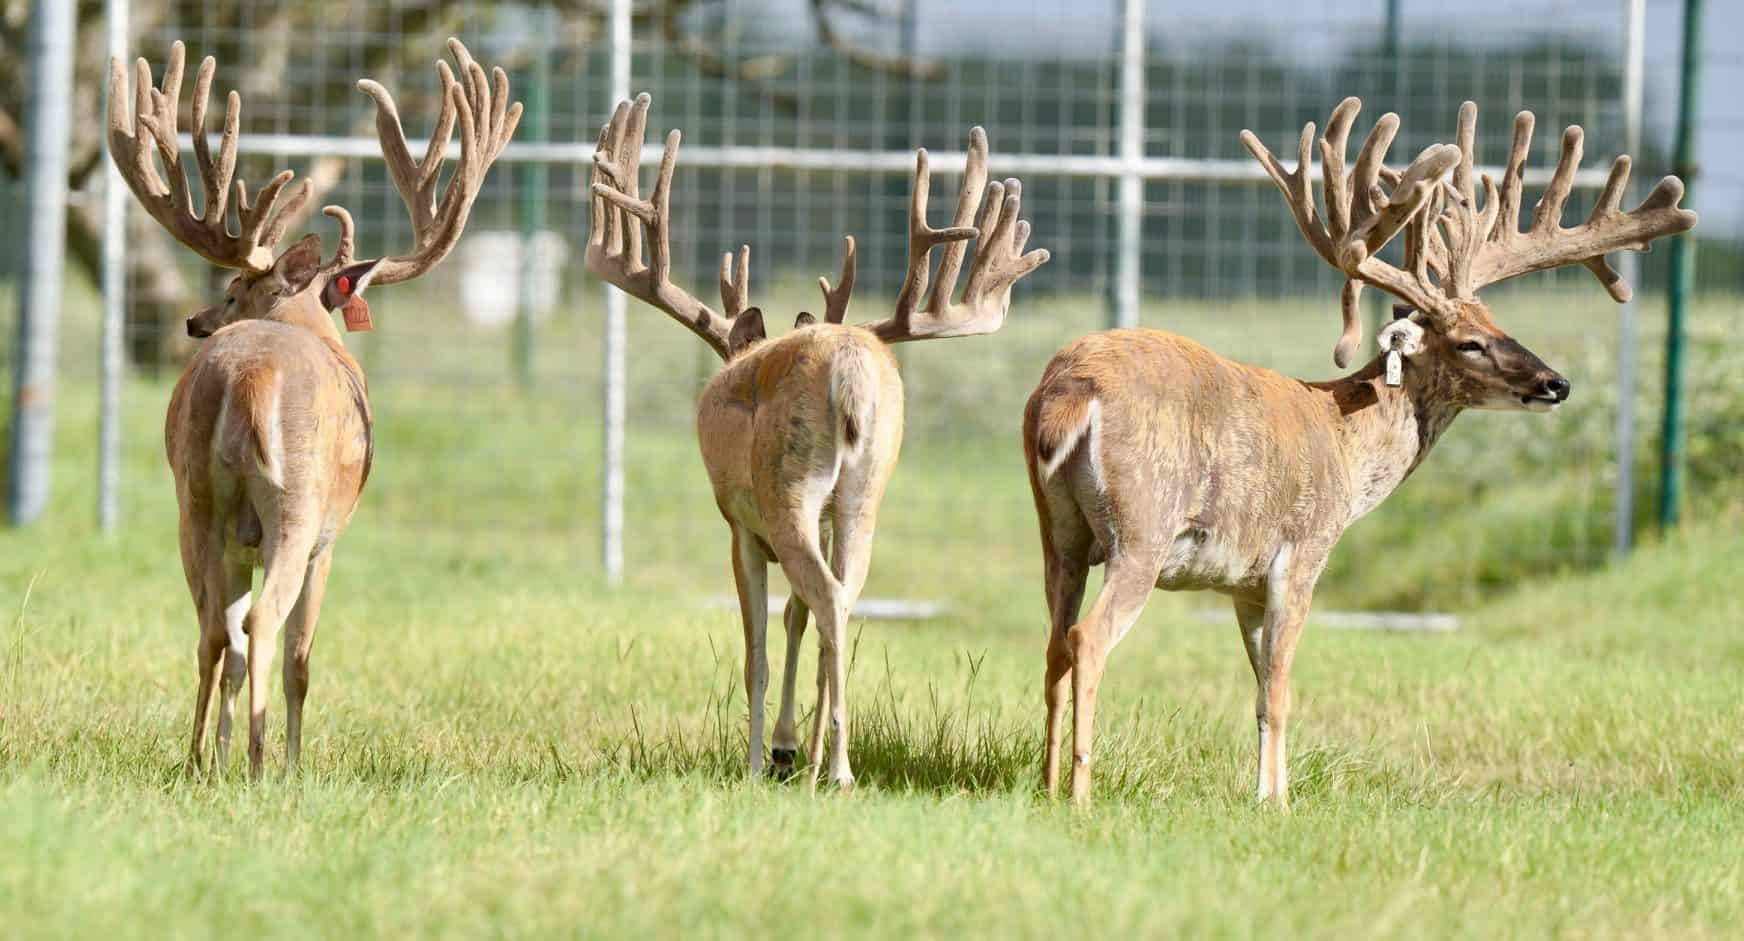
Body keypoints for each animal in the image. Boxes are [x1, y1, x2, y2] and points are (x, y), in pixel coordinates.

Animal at [108, 39, 520, 778]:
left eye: (234, 290)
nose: (194, 321)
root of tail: (248, 379)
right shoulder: (332, 535)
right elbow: (301, 659)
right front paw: (292, 760)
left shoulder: (236, 536)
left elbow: (232, 653)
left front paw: (219, 753)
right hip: (296, 507)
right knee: (262, 625)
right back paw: (263, 763)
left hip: (197, 500)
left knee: (214, 629)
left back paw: (199, 758)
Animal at [587, 94, 1048, 789]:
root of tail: (850, 362)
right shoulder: (824, 514)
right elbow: (794, 617)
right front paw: (785, 747)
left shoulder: (740, 524)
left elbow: (756, 642)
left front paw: (759, 759)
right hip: (864, 489)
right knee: (847, 597)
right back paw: (821, 759)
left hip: (787, 483)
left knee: (828, 595)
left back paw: (835, 770)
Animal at [1023, 98, 1696, 807]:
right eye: (1469, 342)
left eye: (1499, 325)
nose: (1555, 384)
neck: (1346, 443)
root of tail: (1072, 387)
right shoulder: (1305, 547)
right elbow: (1278, 692)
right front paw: (1275, 802)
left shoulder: (1242, 582)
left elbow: (1261, 683)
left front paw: (1271, 791)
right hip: (1144, 523)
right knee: (1088, 638)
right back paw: (1081, 794)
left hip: (1059, 529)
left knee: (1054, 644)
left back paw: (1046, 785)